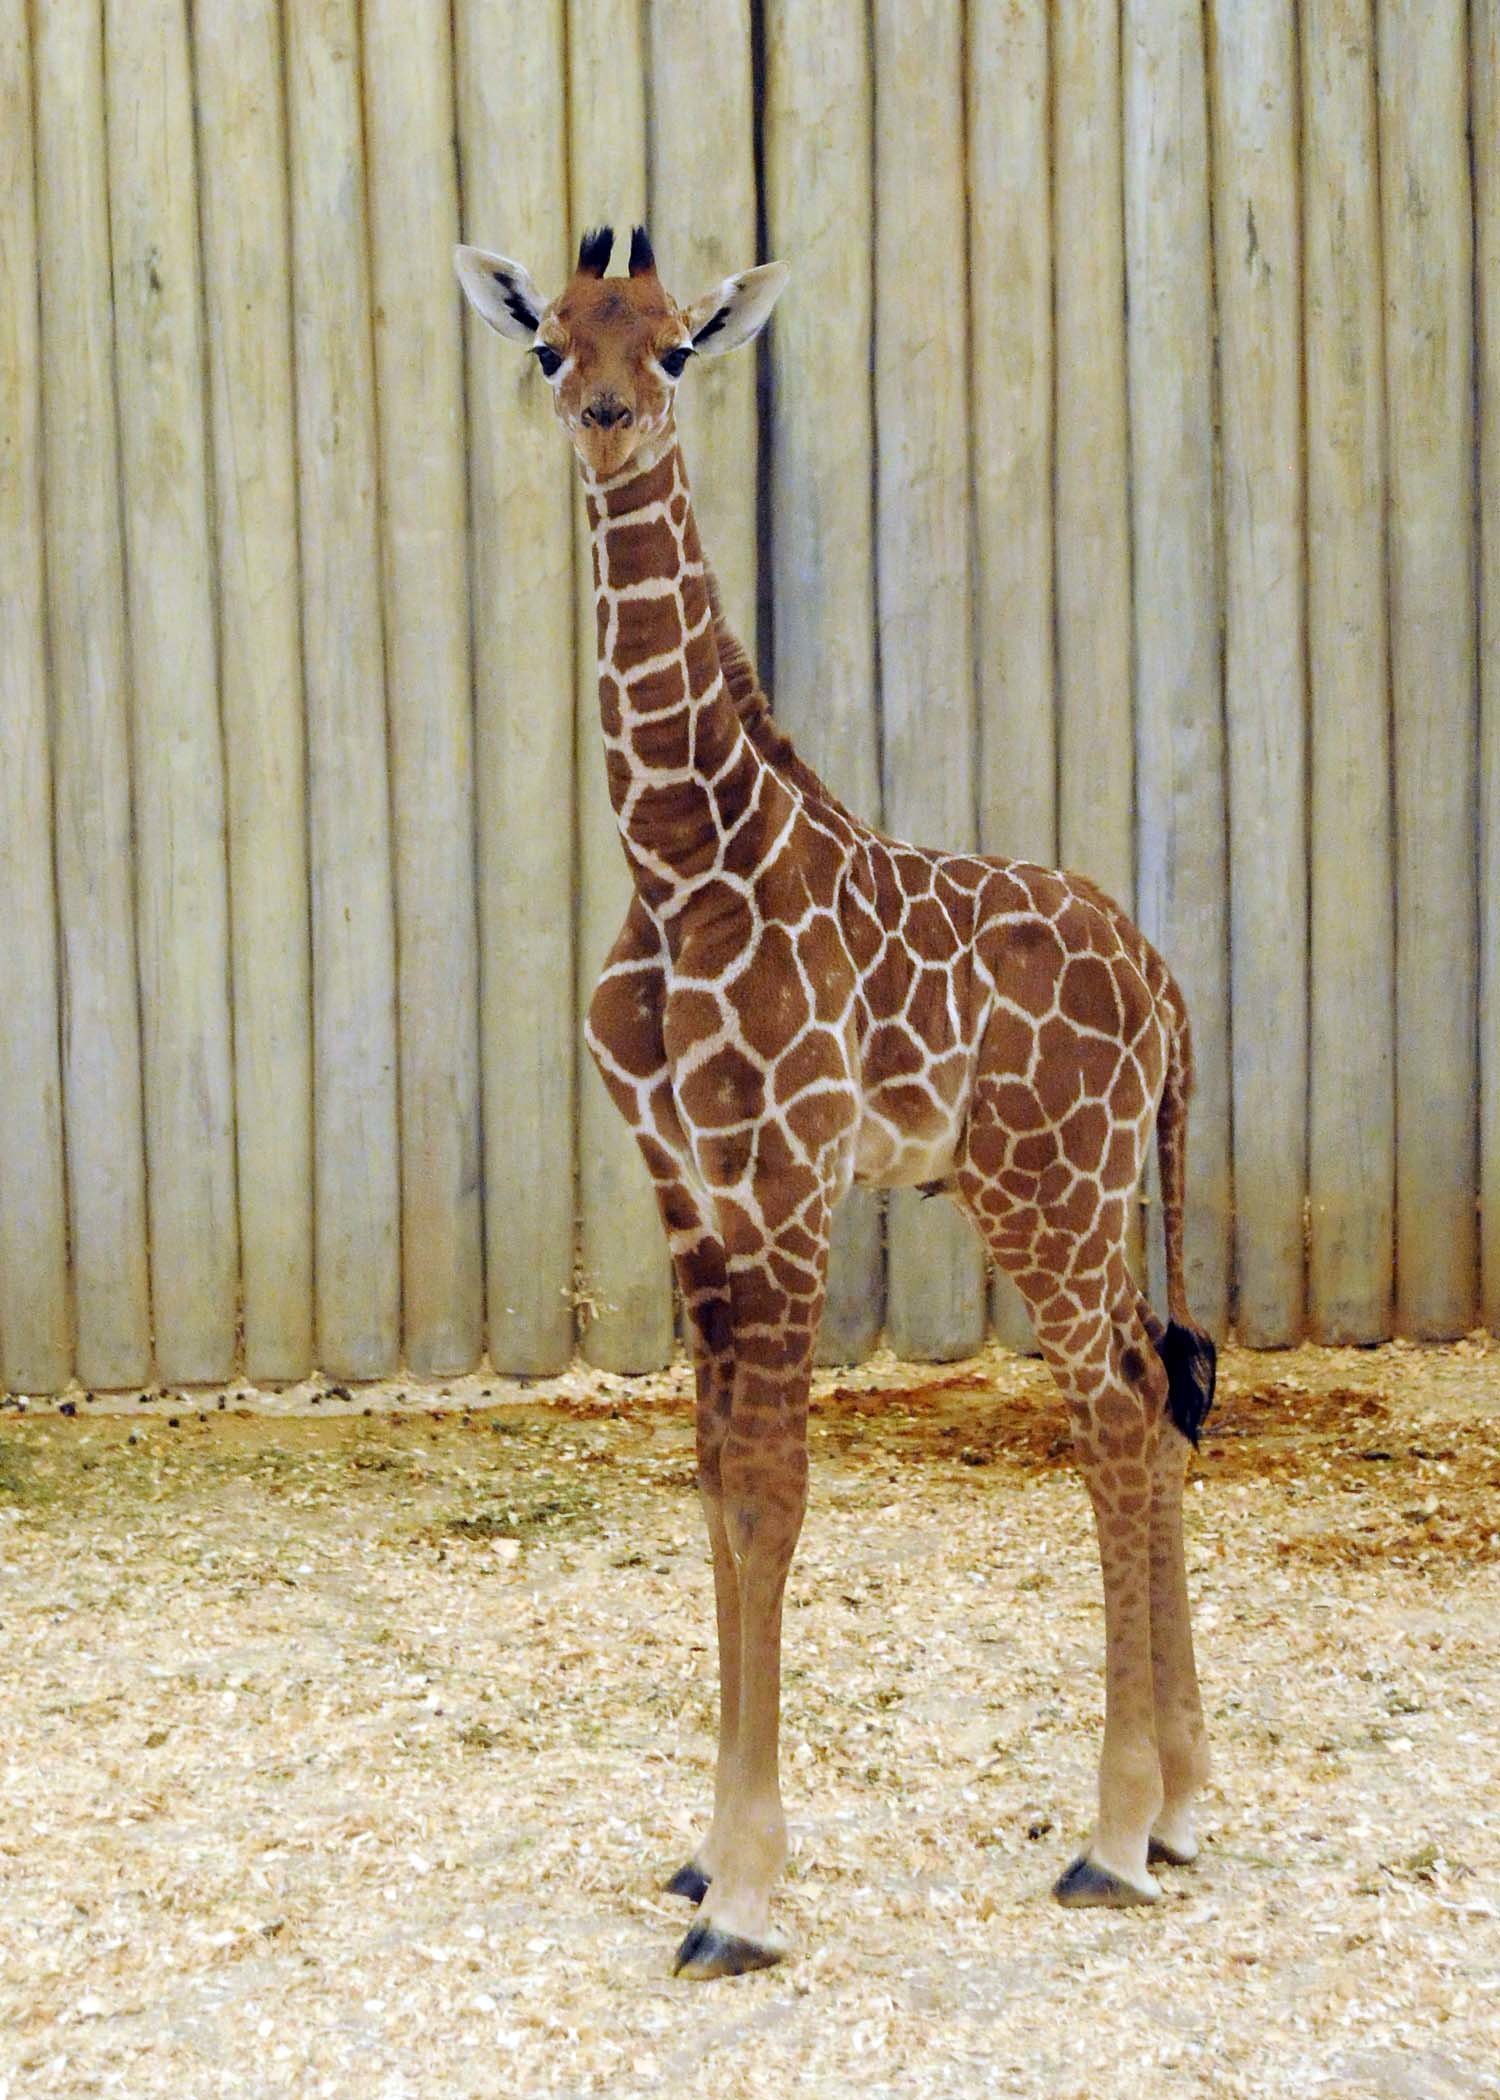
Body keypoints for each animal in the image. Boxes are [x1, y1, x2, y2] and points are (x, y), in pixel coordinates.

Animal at [455, 229, 1218, 1982]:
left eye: (674, 348)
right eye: (549, 348)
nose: (603, 422)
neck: (681, 857)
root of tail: (1165, 986)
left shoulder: (788, 1176)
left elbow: (778, 1497)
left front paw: (743, 1901)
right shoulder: (686, 1185)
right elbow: (716, 1486)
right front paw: (708, 1859)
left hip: (1047, 1186)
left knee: (1117, 1413)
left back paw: (1112, 1838)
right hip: (1080, 1193)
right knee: (1153, 1388)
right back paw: (1179, 1804)